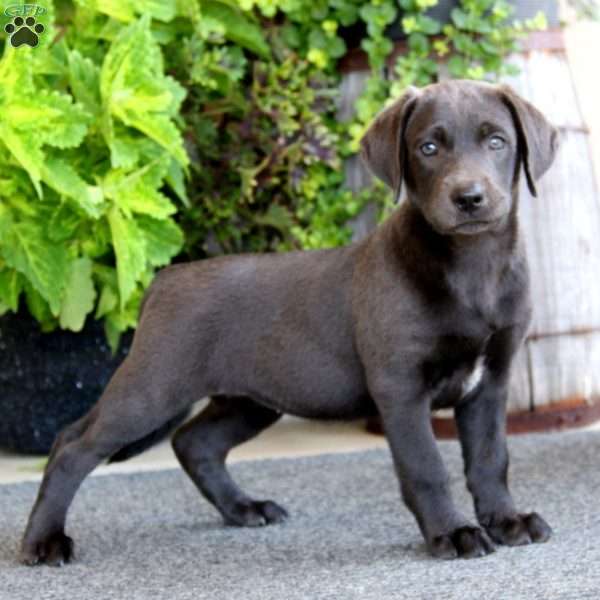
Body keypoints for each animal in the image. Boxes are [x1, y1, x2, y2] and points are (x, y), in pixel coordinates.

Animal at [22, 78, 556, 564]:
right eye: (428, 147)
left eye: (496, 141)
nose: (469, 197)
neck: (472, 265)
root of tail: (165, 280)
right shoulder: (401, 387)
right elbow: (425, 466)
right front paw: (453, 533)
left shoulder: (490, 382)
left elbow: (490, 459)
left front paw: (507, 521)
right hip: (153, 388)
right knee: (73, 445)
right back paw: (42, 542)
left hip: (250, 398)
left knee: (193, 442)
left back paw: (243, 509)